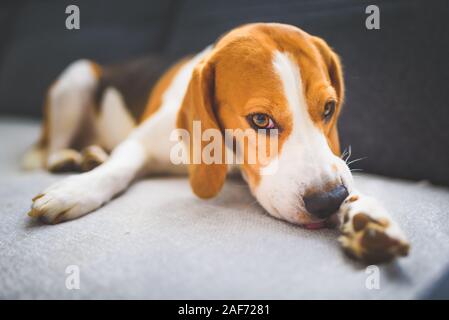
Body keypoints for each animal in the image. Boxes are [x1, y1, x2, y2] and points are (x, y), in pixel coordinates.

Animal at [23, 21, 410, 262]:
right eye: (260, 120)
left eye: (329, 108)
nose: (328, 201)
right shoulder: (138, 142)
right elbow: (118, 168)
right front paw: (76, 190)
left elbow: (352, 186)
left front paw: (366, 216)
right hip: (76, 77)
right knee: (50, 149)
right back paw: (73, 159)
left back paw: (90, 153)